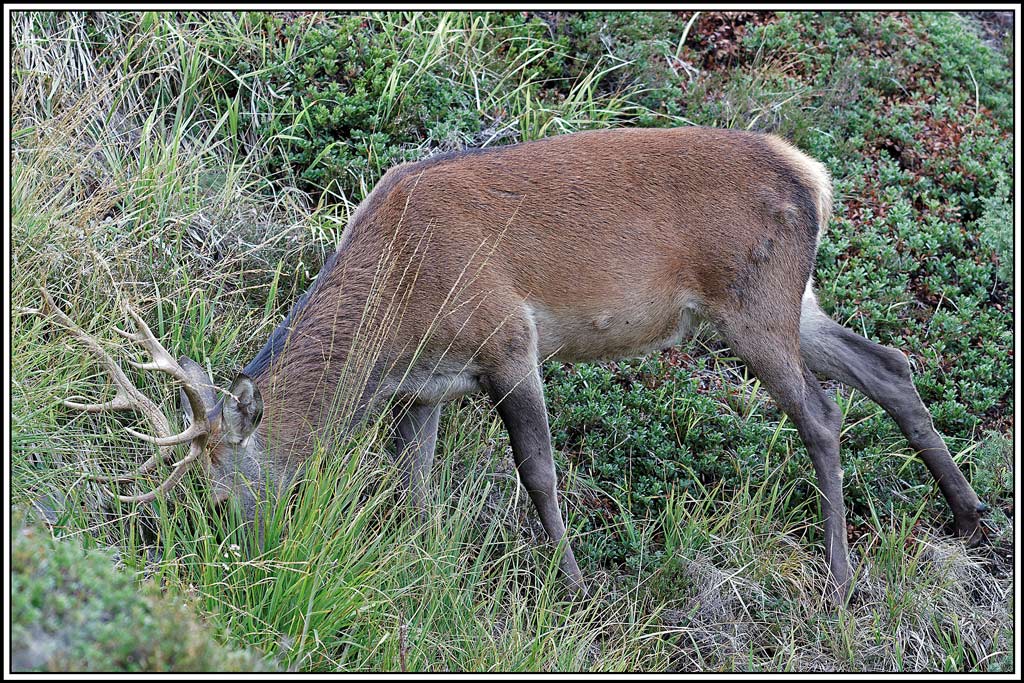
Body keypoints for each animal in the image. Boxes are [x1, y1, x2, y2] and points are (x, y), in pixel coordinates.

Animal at [42, 126, 988, 604]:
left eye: (216, 495)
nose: (220, 569)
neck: (397, 306)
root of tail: (815, 174)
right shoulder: (425, 387)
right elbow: (415, 483)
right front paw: (424, 564)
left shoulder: (507, 338)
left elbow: (538, 471)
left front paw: (572, 587)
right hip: (793, 299)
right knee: (890, 362)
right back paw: (969, 513)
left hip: (753, 305)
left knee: (824, 415)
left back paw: (841, 574)